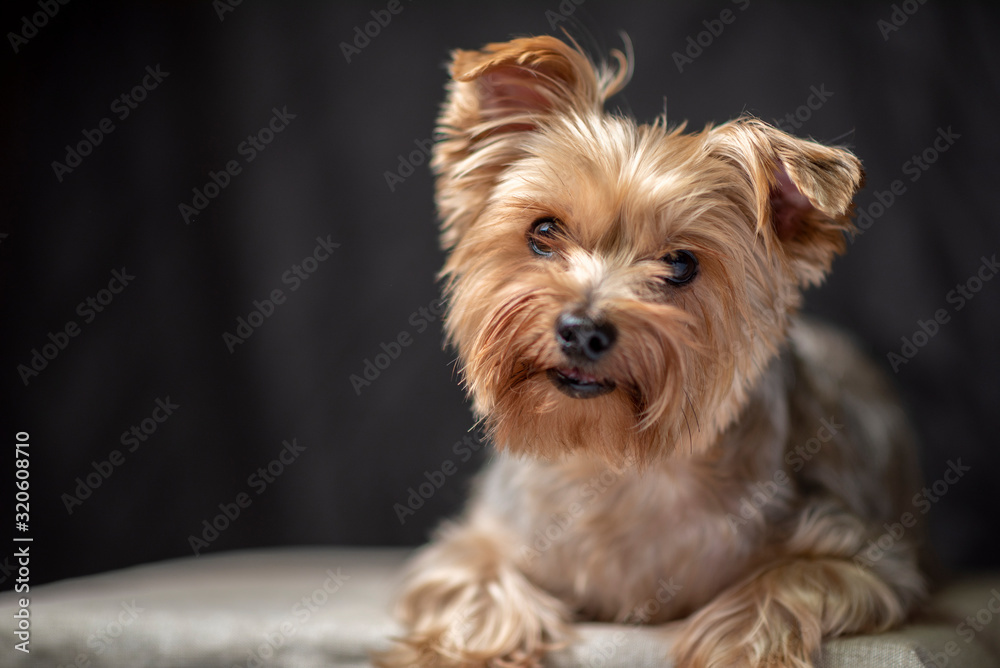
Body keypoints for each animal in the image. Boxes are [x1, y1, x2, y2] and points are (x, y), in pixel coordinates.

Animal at [376, 36, 928, 668]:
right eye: (544, 231)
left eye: (681, 263)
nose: (582, 330)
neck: (615, 461)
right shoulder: (476, 540)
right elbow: (478, 586)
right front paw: (461, 652)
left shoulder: (871, 557)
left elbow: (784, 584)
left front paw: (735, 648)